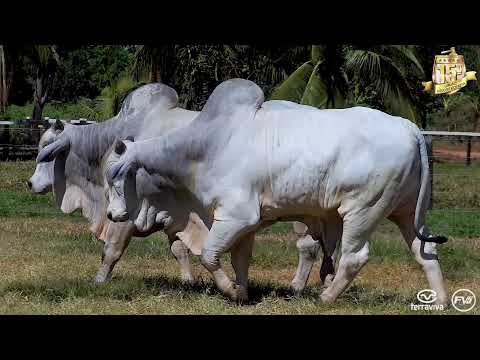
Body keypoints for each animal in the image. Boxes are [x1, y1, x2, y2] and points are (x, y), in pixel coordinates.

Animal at [106, 79, 450, 304]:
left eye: (114, 177)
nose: (111, 214)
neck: (204, 146)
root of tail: (410, 128)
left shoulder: (236, 216)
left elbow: (208, 255)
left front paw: (230, 290)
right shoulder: (245, 224)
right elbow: (239, 260)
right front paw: (242, 292)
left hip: (363, 209)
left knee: (355, 256)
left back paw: (326, 296)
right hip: (406, 211)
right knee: (425, 252)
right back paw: (441, 301)